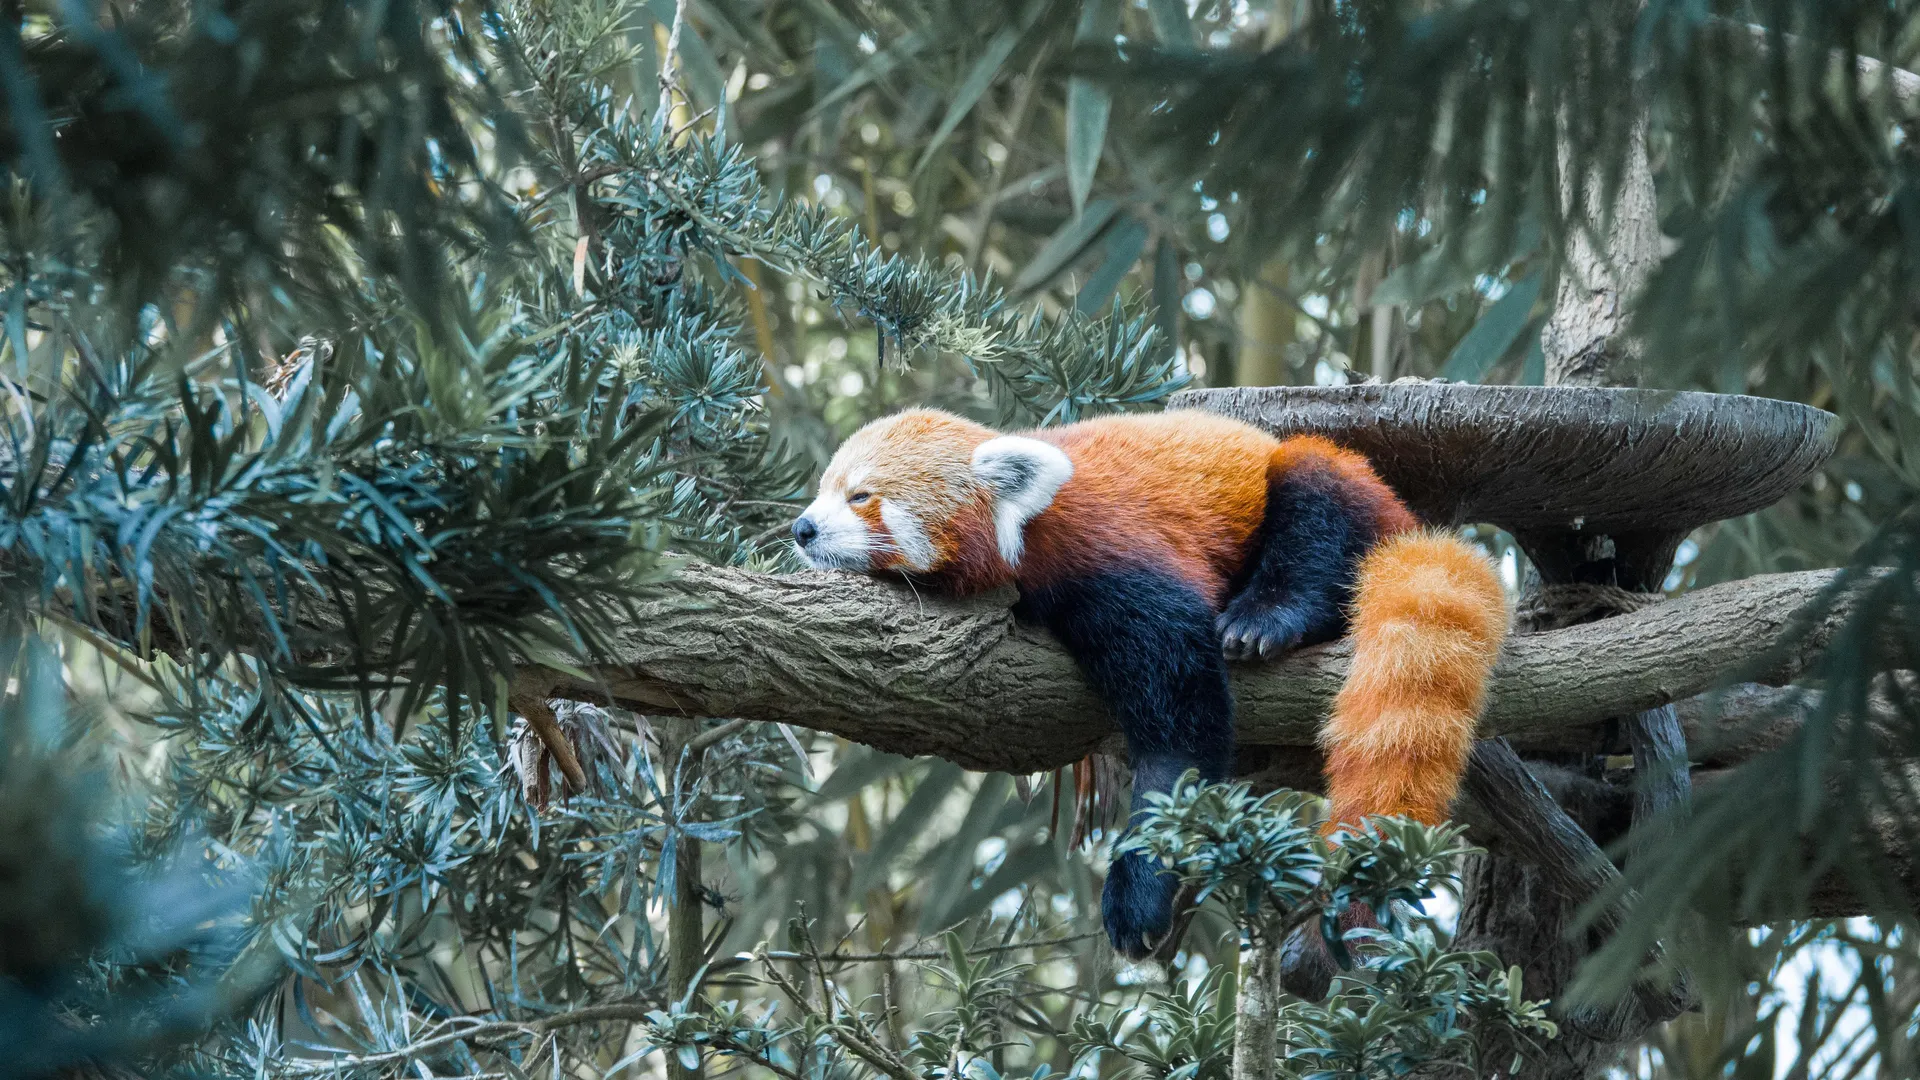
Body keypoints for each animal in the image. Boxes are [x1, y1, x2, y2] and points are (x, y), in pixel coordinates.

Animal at [787, 407, 1505, 953]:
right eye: (824, 489)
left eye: (861, 496)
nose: (802, 528)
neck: (1030, 525)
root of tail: (1406, 516)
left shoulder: (1111, 554)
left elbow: (1178, 727)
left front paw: (1139, 889)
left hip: (1333, 487)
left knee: (1315, 501)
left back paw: (1269, 615)